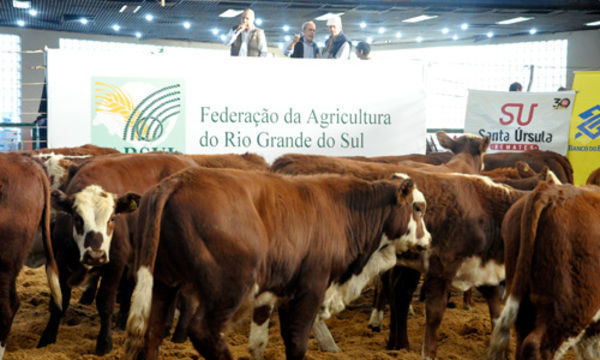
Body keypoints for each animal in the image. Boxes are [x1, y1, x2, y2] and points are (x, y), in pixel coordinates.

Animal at [124, 168, 428, 360]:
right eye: (418, 208)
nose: (429, 239)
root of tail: (178, 180)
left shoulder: (282, 292)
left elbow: (268, 340)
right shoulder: (311, 286)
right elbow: (297, 341)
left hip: (162, 284)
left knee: (152, 334)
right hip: (228, 288)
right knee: (203, 331)